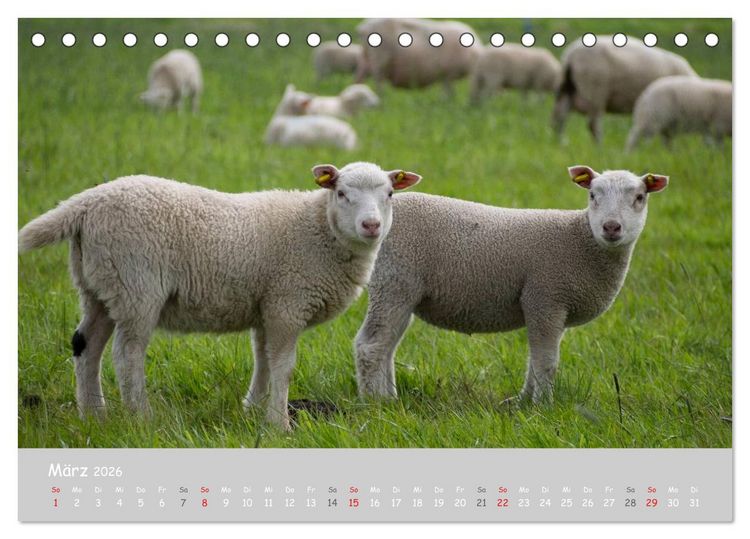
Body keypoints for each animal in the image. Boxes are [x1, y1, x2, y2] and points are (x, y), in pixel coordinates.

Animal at [18, 163, 423, 430]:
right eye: (341, 193)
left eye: (389, 195)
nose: (371, 225)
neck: (318, 229)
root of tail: (86, 202)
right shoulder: (287, 302)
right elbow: (283, 365)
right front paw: (279, 424)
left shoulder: (267, 304)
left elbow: (263, 360)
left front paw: (253, 408)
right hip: (136, 284)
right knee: (126, 354)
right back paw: (140, 417)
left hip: (98, 285)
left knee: (86, 345)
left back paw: (93, 416)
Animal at [355, 166, 668, 404]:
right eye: (592, 195)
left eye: (640, 197)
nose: (611, 227)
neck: (580, 240)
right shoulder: (544, 297)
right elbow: (546, 362)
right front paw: (543, 407)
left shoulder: (552, 307)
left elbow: (535, 360)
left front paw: (523, 401)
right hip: (393, 282)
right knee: (370, 346)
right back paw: (375, 402)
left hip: (402, 291)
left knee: (387, 345)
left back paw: (390, 397)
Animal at [552, 37, 697, 142]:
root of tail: (571, 55)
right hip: (595, 90)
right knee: (593, 124)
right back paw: (599, 147)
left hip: (567, 87)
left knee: (559, 116)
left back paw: (560, 142)